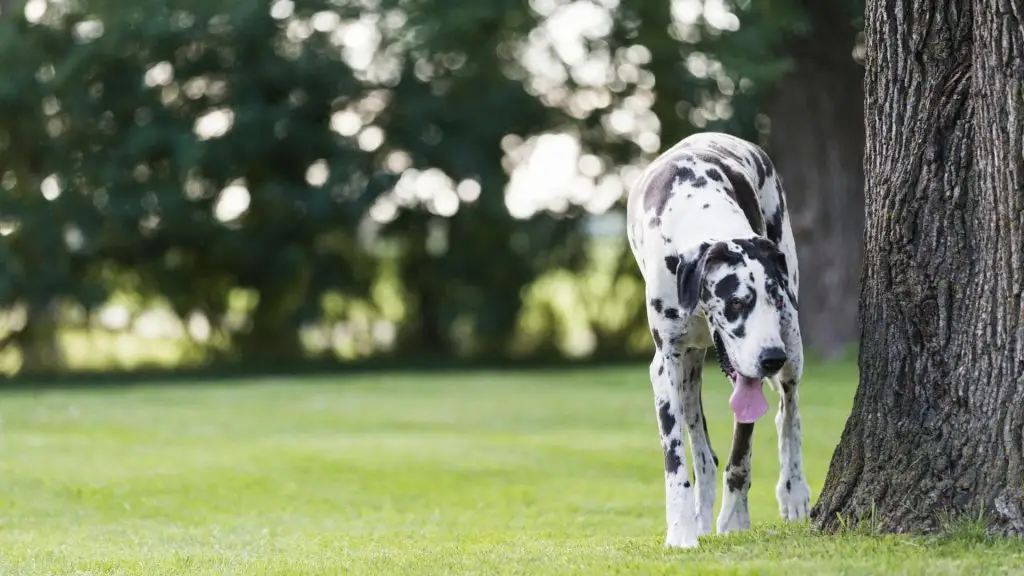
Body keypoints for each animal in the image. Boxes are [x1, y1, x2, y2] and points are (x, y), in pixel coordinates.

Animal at [618, 131, 811, 545]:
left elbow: (741, 457)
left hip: (793, 342)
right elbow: (676, 461)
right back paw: (700, 517)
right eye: (737, 301)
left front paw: (735, 519)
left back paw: (794, 490)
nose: (771, 358)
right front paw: (681, 531)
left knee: (789, 412)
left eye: (774, 299)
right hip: (688, 375)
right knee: (704, 456)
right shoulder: (665, 366)